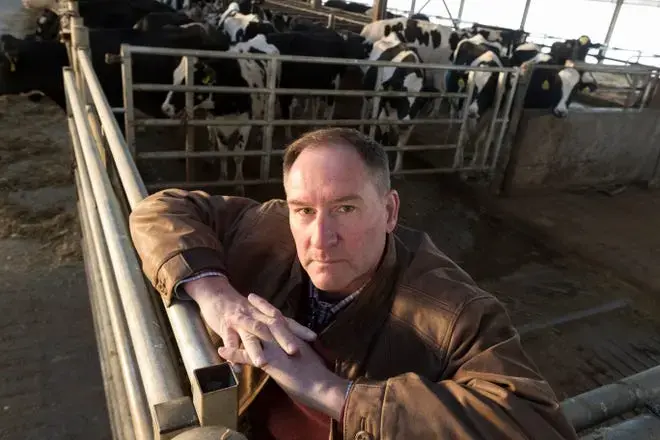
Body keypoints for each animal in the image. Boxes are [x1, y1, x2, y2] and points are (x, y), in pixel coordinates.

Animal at [360, 32, 434, 172]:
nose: (404, 123)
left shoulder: (412, 122)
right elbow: (384, 139)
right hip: (368, 96)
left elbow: (401, 147)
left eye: (421, 100)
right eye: (400, 97)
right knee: (366, 112)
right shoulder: (383, 117)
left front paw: (398, 169)